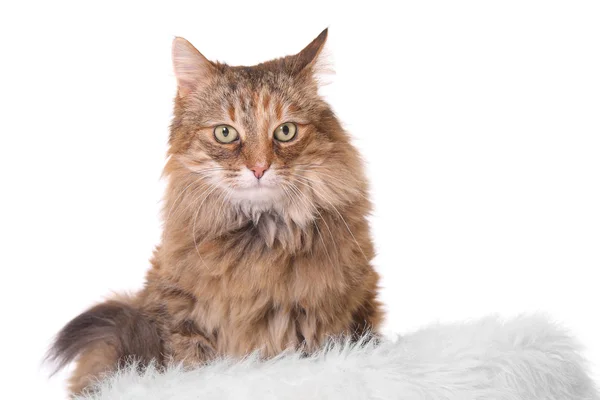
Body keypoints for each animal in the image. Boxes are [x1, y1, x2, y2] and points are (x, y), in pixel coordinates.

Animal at [48, 29, 384, 396]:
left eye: (286, 131)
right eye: (225, 133)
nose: (259, 168)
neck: (258, 242)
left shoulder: (335, 322)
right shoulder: (180, 322)